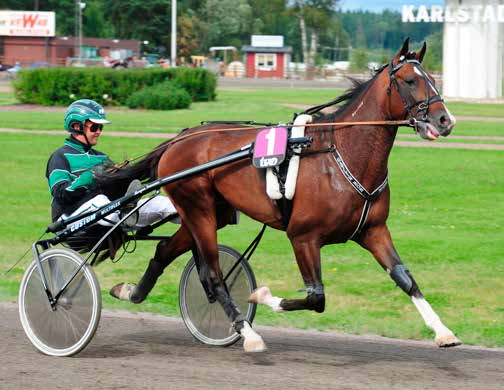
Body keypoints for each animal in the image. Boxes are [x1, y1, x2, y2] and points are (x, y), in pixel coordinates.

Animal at [100, 40, 462, 354]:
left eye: (432, 79)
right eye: (410, 80)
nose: (446, 120)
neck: (341, 155)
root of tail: (180, 138)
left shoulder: (373, 231)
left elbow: (405, 278)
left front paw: (444, 331)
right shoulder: (303, 237)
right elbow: (317, 298)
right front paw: (260, 295)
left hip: (209, 213)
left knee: (165, 251)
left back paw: (131, 291)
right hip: (196, 206)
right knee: (213, 274)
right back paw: (247, 333)